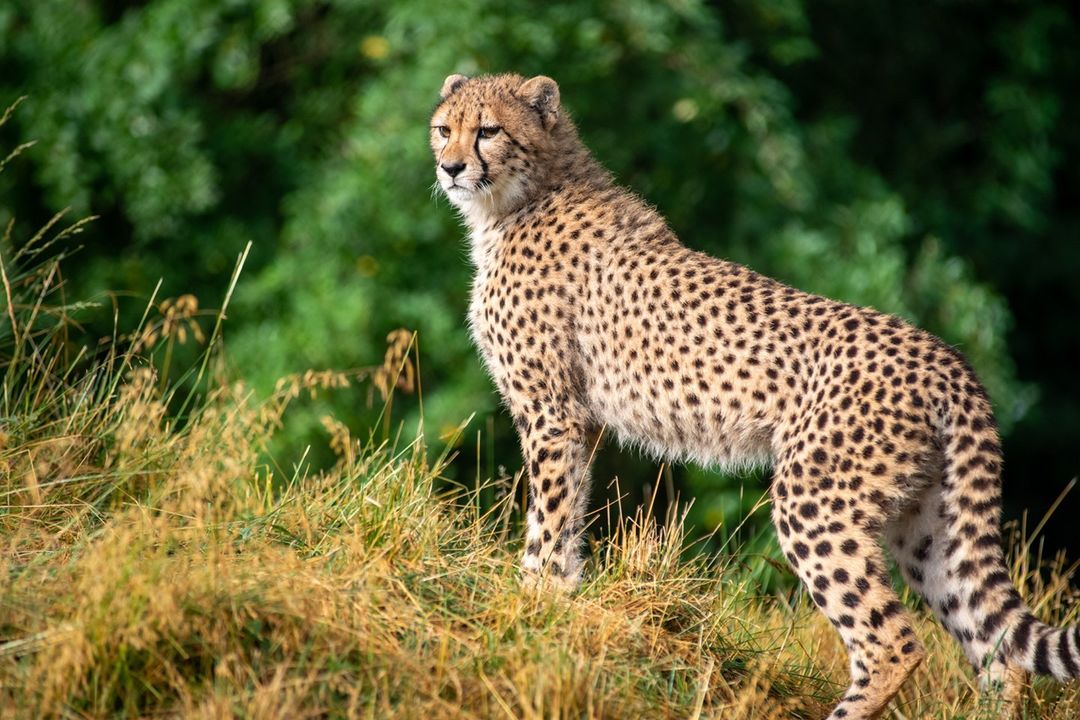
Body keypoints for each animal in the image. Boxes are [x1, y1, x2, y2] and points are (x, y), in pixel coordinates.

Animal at [429, 74, 1080, 720]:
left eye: (488, 130)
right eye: (444, 129)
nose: (450, 167)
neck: (524, 195)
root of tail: (948, 359)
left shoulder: (553, 414)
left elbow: (548, 518)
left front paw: (534, 607)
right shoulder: (579, 422)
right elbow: (566, 517)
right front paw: (552, 600)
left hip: (814, 500)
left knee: (893, 641)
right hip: (927, 525)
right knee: (998, 650)